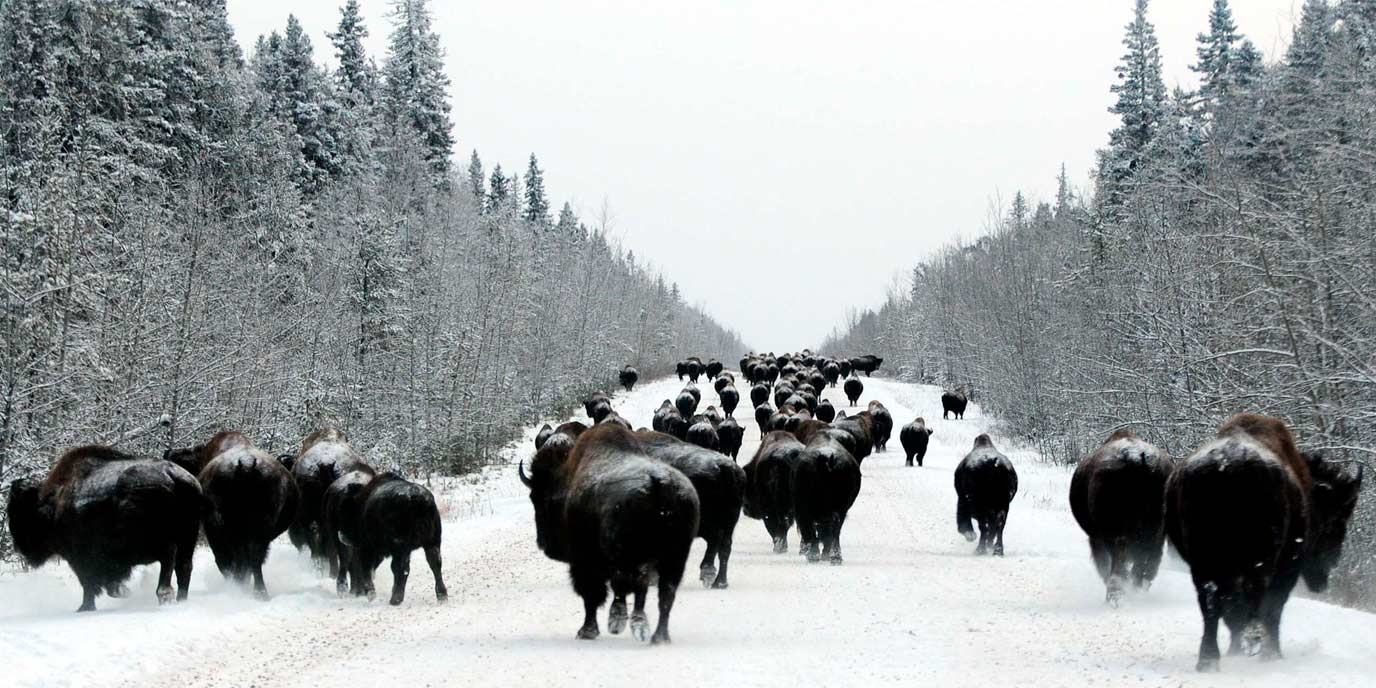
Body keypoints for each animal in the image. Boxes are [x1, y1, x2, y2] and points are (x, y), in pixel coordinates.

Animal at [8, 446, 202, 611]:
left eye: (19, 515)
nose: (18, 547)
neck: (54, 506)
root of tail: (172, 475)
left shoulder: (82, 560)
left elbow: (90, 584)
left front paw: (85, 607)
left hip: (154, 542)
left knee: (169, 556)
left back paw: (164, 594)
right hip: (188, 538)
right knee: (183, 566)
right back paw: (180, 599)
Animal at [520, 423, 699, 643]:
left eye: (538, 498)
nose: (544, 544)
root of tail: (659, 484)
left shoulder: (584, 563)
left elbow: (592, 596)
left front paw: (587, 631)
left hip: (632, 557)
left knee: (634, 587)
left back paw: (628, 624)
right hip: (674, 558)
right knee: (664, 594)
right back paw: (658, 637)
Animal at [1069, 429, 1173, 605]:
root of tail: (1137, 457)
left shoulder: (1096, 539)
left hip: (1113, 534)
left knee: (1120, 559)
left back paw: (1116, 595)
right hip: (1156, 531)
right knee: (1148, 560)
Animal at [1166, 414, 1362, 672]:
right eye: (1337, 522)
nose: (1323, 578)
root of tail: (1228, 465)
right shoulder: (1287, 568)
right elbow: (1273, 608)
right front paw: (1271, 652)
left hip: (1205, 565)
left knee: (1212, 605)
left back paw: (1209, 660)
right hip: (1258, 563)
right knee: (1254, 601)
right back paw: (1255, 647)